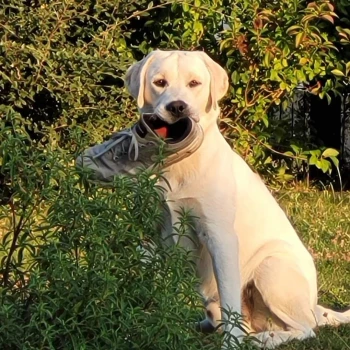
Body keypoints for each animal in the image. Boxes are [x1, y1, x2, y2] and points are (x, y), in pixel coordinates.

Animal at [123, 50, 350, 348]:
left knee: (305, 328)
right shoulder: (160, 235)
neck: (180, 162)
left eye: (194, 83)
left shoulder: (220, 237)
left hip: (271, 267)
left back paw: (266, 338)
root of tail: (316, 307)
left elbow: (229, 296)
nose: (178, 107)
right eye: (159, 82)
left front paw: (231, 343)